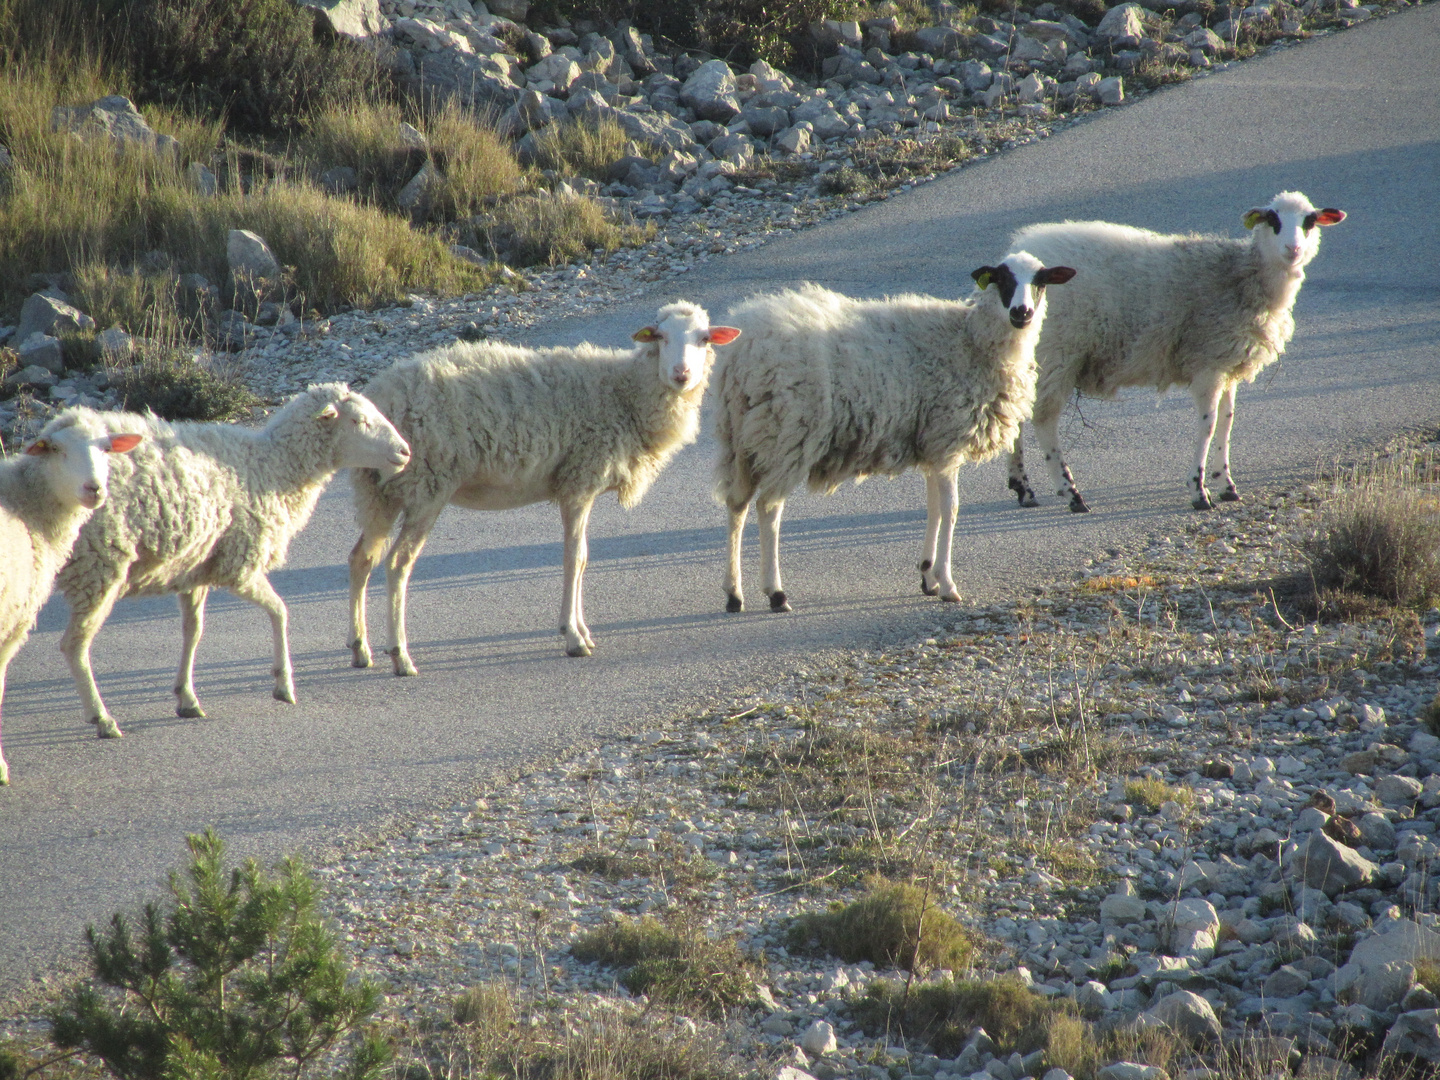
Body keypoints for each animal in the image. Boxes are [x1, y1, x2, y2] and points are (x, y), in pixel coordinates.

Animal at [56, 380, 411, 737]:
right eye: (359, 421)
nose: (406, 452)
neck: (271, 467)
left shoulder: (195, 567)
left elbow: (194, 631)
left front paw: (186, 697)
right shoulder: (240, 564)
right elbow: (280, 611)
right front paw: (283, 684)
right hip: (100, 565)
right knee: (74, 645)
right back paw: (102, 718)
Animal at [348, 296, 743, 668]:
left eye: (704, 339)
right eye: (660, 337)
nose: (681, 374)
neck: (623, 393)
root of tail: (380, 396)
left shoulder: (579, 485)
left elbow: (581, 559)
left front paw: (581, 631)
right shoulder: (579, 481)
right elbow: (574, 559)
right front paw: (573, 637)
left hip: (379, 491)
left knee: (361, 558)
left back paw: (360, 649)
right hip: (427, 485)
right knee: (398, 564)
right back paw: (400, 656)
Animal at [714, 249, 1077, 613]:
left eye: (1040, 281)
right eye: (1002, 279)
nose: (1021, 312)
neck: (970, 339)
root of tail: (741, 351)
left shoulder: (932, 446)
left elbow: (934, 509)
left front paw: (928, 576)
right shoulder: (947, 439)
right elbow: (951, 509)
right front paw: (947, 584)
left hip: (738, 438)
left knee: (736, 505)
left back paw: (734, 594)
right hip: (787, 435)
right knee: (768, 508)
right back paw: (776, 593)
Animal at [1008, 191, 1342, 515]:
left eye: (1309, 221)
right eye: (1272, 219)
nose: (1293, 249)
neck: (1242, 275)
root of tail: (1022, 250)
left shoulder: (1226, 363)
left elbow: (1227, 420)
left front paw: (1226, 485)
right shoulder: (1207, 363)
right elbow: (1208, 424)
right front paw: (1199, 490)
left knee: (1018, 411)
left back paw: (1023, 488)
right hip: (1057, 352)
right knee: (1043, 419)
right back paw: (1071, 493)